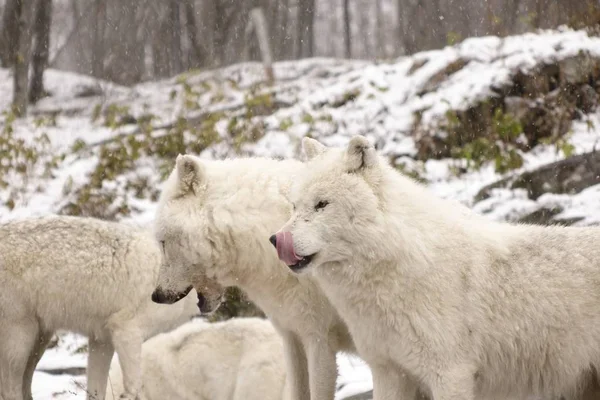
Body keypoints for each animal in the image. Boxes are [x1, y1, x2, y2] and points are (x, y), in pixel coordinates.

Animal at [0, 216, 216, 400]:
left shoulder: (102, 341)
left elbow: (96, 391)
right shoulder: (127, 333)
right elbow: (134, 387)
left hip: (39, 340)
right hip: (20, 340)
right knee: (10, 391)